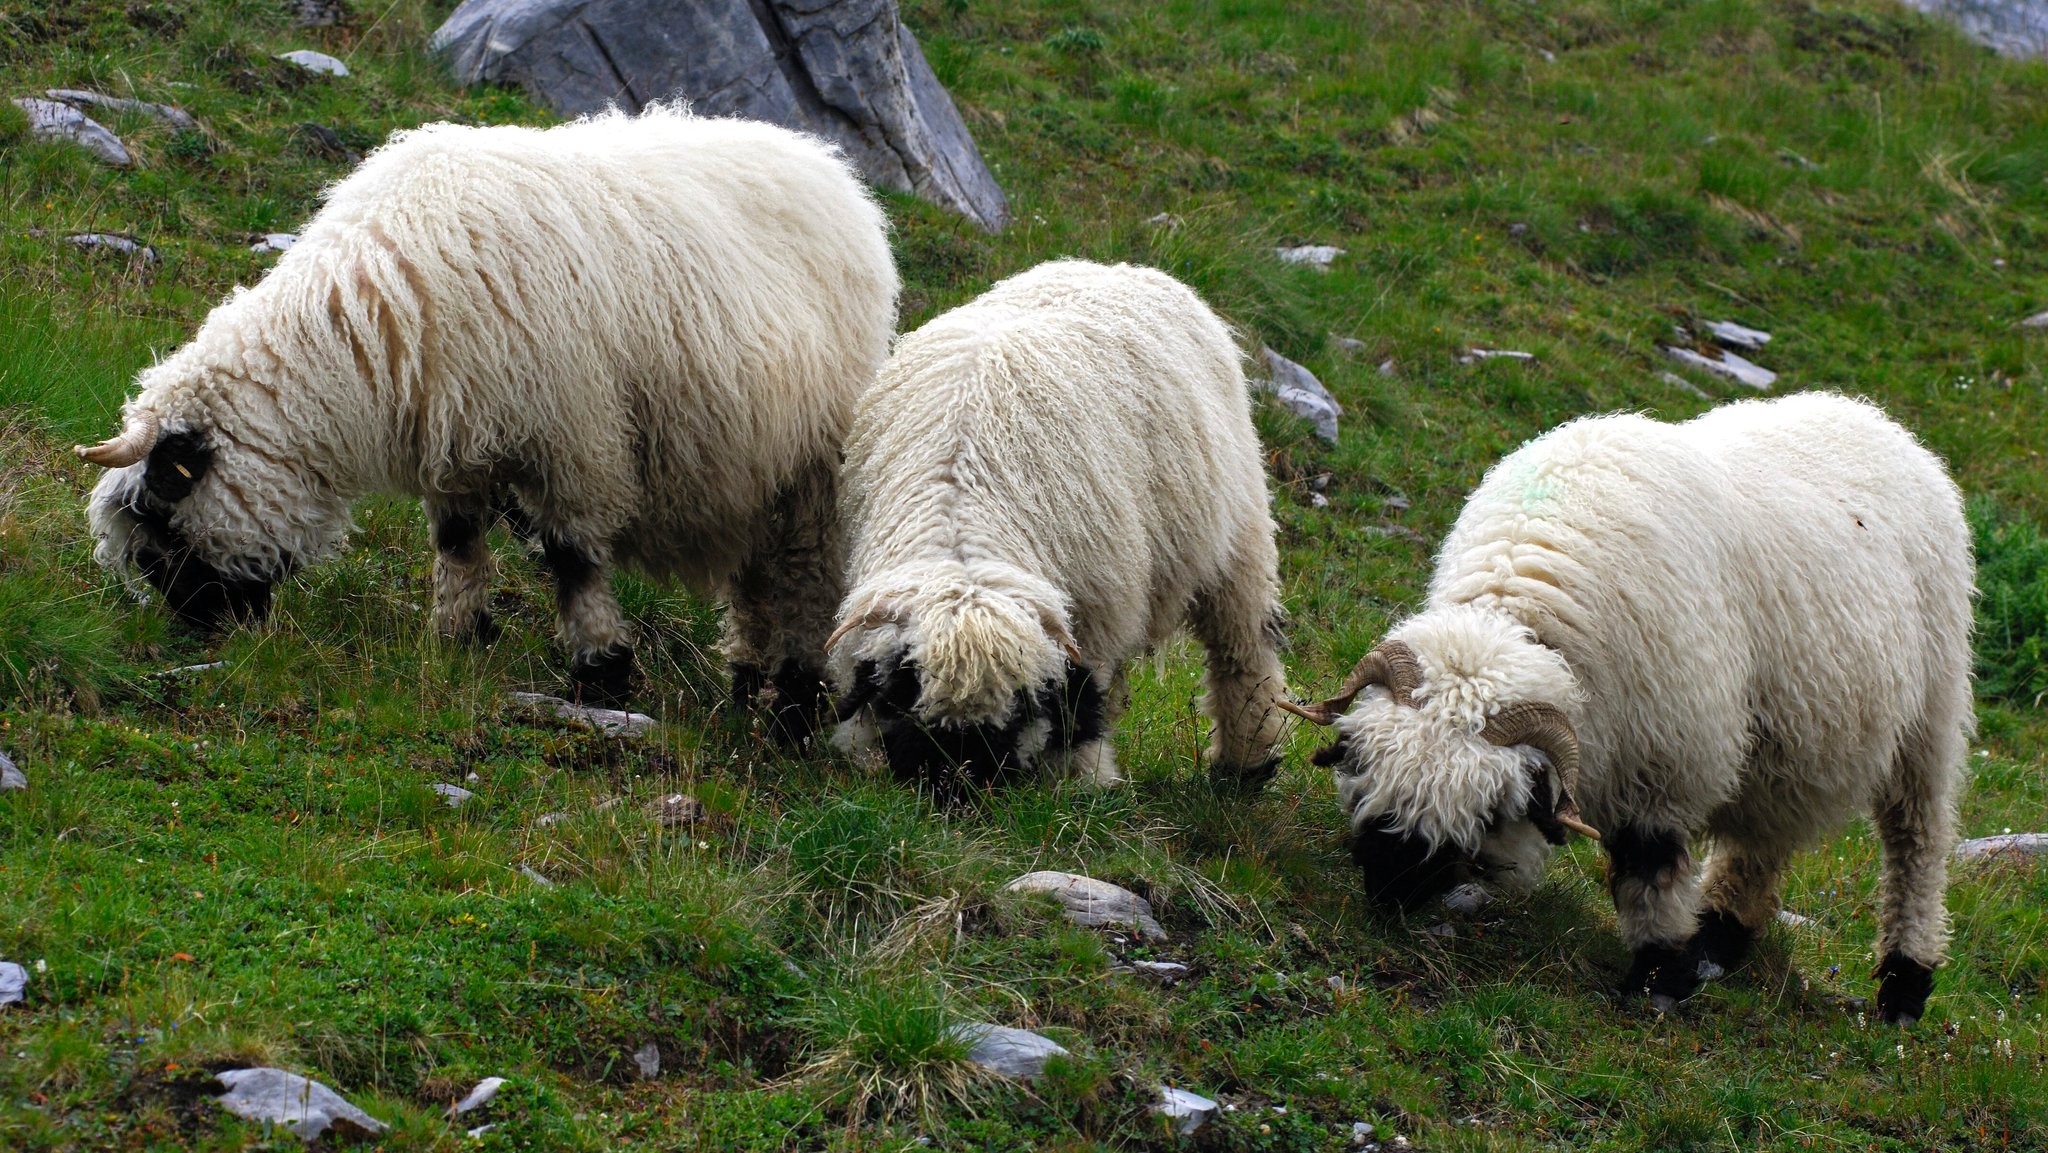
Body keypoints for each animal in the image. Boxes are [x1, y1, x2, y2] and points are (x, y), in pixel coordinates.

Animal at [75, 104, 898, 730]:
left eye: (161, 521)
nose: (198, 632)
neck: (372, 323)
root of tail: (829, 166)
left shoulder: (576, 438)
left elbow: (572, 558)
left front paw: (601, 670)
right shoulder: (458, 443)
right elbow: (459, 545)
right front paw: (458, 637)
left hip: (811, 468)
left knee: (803, 576)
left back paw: (791, 703)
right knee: (759, 582)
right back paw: (749, 683)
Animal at [825, 259, 1290, 799]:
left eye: (1011, 718)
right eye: (910, 701)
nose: (959, 788)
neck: (962, 526)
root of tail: (1116, 266)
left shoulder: (1094, 614)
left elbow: (1079, 701)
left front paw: (1081, 780)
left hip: (1239, 532)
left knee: (1243, 650)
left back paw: (1247, 762)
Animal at [1287, 392, 1971, 1024]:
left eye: (1485, 812)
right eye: (1360, 772)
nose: (1387, 889)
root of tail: (1874, 418)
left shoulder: (1670, 755)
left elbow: (1651, 866)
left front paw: (1658, 981)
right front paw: (1679, 966)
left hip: (1930, 716)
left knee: (1917, 842)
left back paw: (1905, 984)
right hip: (1784, 742)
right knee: (1762, 837)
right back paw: (1720, 939)